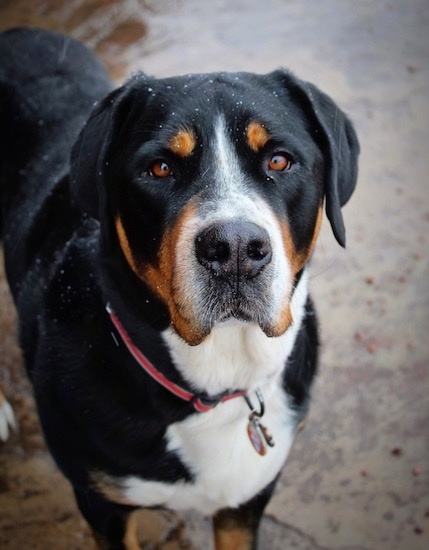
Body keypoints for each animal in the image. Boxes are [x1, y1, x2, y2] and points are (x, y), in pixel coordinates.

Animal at [0, 29, 358, 550]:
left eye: (279, 160)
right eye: (160, 168)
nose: (234, 248)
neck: (216, 384)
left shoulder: (247, 499)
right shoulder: (103, 504)